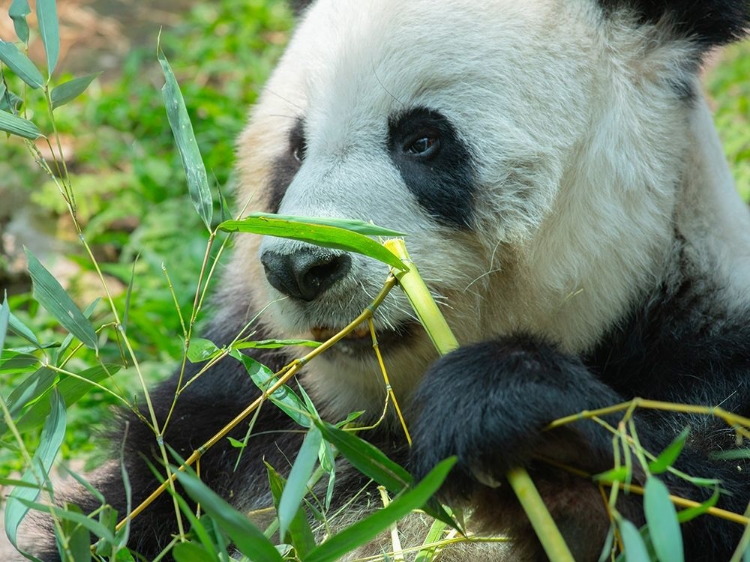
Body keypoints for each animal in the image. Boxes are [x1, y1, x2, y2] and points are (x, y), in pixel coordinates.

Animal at [38, 1, 750, 560]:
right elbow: (122, 512)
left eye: (422, 140)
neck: (384, 427)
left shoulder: (699, 368)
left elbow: (689, 498)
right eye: (296, 147)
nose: (302, 268)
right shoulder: (231, 420)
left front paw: (514, 415)